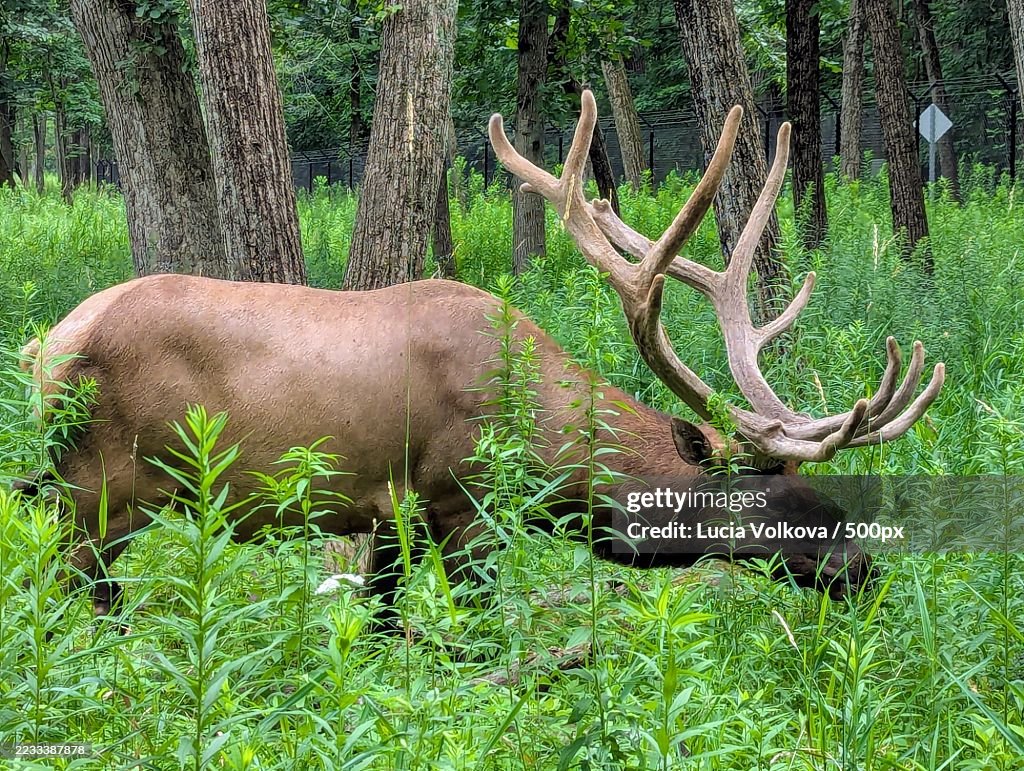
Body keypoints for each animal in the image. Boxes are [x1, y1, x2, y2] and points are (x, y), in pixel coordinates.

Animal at [12, 91, 943, 630]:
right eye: (783, 499)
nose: (868, 571)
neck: (553, 455)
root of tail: (40, 348)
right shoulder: (462, 506)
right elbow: (478, 643)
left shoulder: (388, 517)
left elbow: (382, 629)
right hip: (99, 483)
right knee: (68, 586)